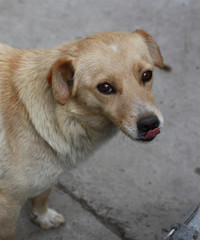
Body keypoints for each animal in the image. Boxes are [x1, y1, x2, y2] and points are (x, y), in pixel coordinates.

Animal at [0, 30, 164, 240]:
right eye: (105, 87)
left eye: (147, 75)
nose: (150, 123)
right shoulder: (7, 203)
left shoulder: (48, 176)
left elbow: (43, 194)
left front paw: (43, 216)